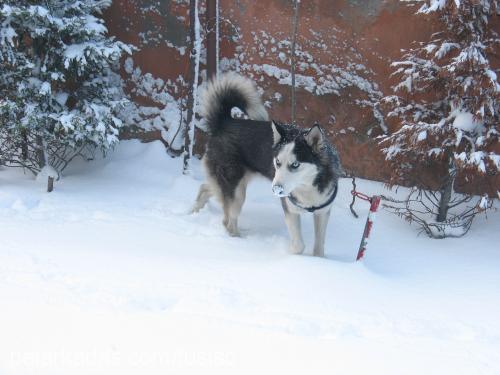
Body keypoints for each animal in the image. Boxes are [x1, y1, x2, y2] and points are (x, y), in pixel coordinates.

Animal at [193, 73, 342, 258]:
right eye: (277, 162)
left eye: (295, 164)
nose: (276, 189)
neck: (307, 187)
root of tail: (225, 121)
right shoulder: (290, 210)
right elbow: (298, 245)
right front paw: (293, 256)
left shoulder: (322, 213)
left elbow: (319, 248)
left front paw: (318, 261)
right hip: (236, 191)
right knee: (227, 220)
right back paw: (237, 241)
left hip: (228, 182)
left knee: (206, 188)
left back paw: (193, 212)